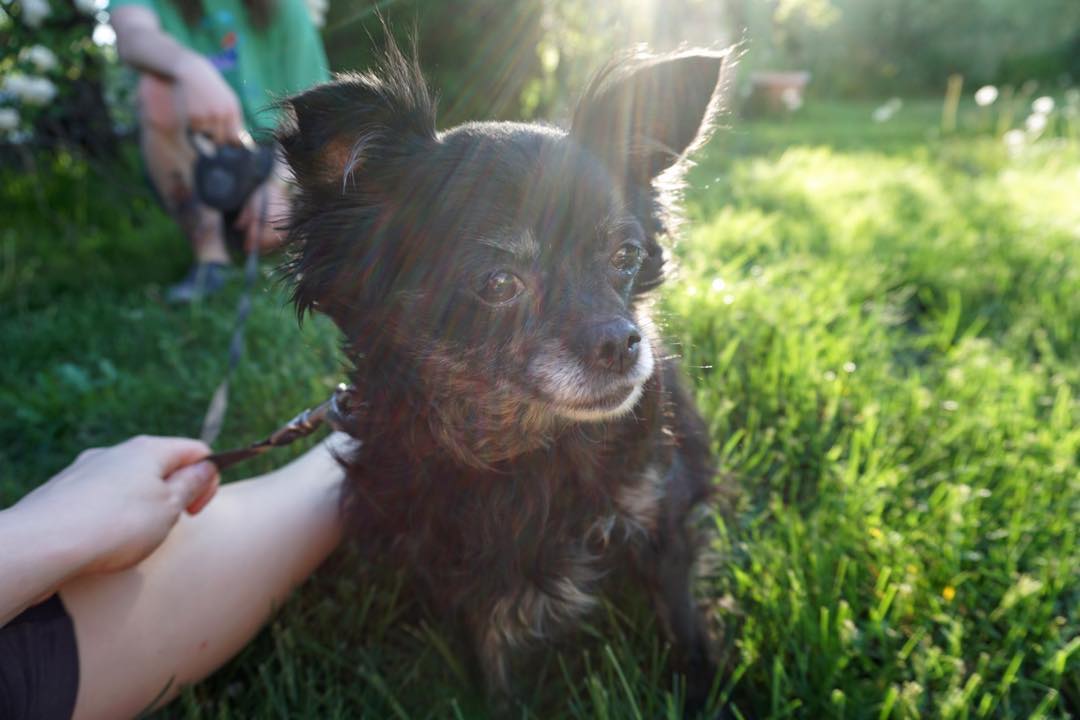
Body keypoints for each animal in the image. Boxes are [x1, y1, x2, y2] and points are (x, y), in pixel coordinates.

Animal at [276, 40, 725, 716]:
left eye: (625, 256)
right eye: (497, 284)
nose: (623, 341)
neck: (529, 450)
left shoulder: (657, 520)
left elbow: (684, 628)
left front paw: (703, 691)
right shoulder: (463, 584)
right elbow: (495, 676)